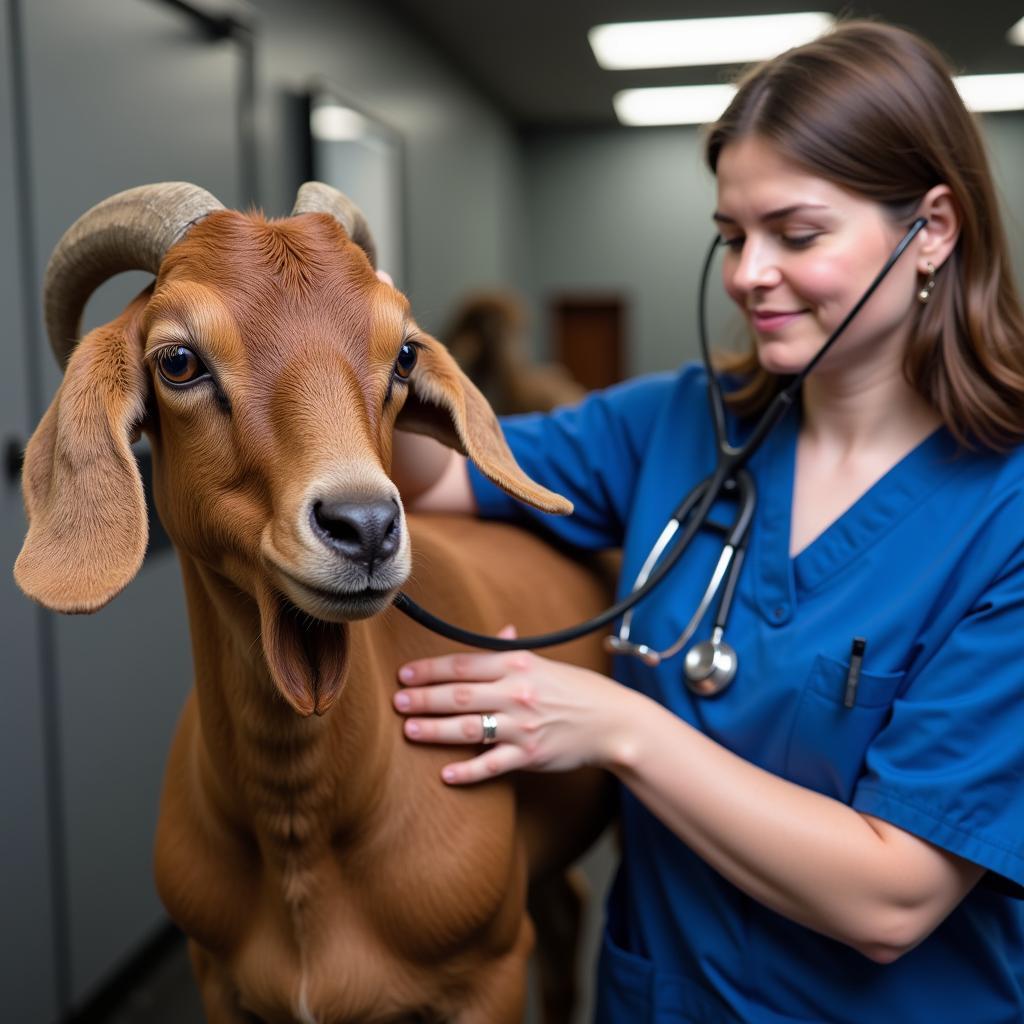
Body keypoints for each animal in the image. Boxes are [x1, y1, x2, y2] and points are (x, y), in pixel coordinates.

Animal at [16, 184, 610, 1024]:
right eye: (177, 360)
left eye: (403, 354)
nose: (364, 525)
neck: (302, 830)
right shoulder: (218, 980)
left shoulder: (488, 973)